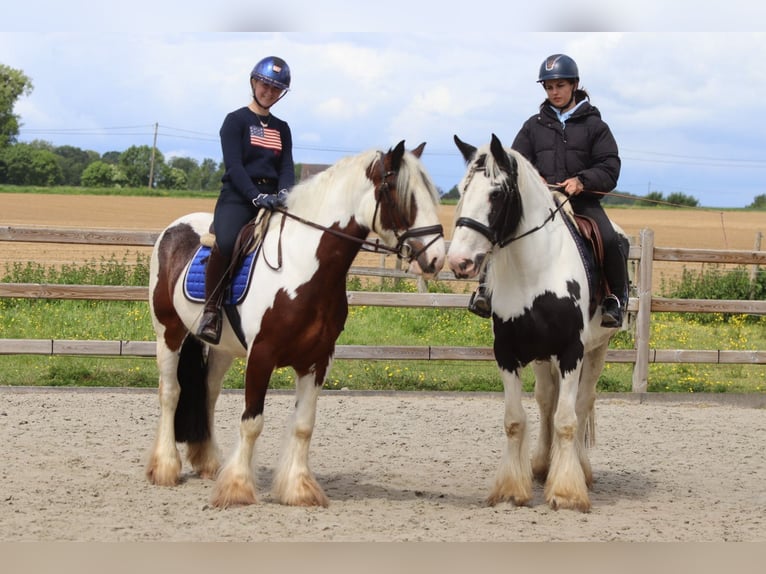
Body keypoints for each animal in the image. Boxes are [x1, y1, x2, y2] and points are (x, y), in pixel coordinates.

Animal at [145, 141, 446, 508]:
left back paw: (208, 462)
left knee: (208, 391)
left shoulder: (317, 360)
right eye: (400, 194)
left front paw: (299, 489)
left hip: (222, 348)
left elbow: (304, 425)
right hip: (169, 333)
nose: (436, 258)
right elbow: (252, 422)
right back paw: (165, 468)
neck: (302, 268)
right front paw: (237, 488)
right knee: (171, 392)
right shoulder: (261, 356)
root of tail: (175, 227)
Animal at [447, 134, 629, 512]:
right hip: (544, 360)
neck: (535, 272)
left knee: (581, 403)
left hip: (597, 350)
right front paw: (512, 489)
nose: (459, 261)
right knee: (547, 402)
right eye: (462, 189)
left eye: (496, 194)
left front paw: (568, 492)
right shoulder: (507, 353)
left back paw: (581, 470)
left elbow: (568, 420)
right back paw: (544, 466)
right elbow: (516, 420)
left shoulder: (572, 352)